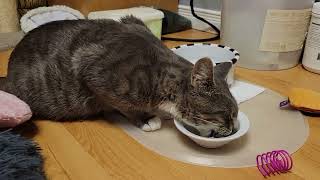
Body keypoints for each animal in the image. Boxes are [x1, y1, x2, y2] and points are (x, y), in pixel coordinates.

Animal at [0, 16, 239, 137]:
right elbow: (126, 107)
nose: (235, 128)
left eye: (236, 114)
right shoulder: (94, 72)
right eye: (226, 114)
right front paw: (147, 118)